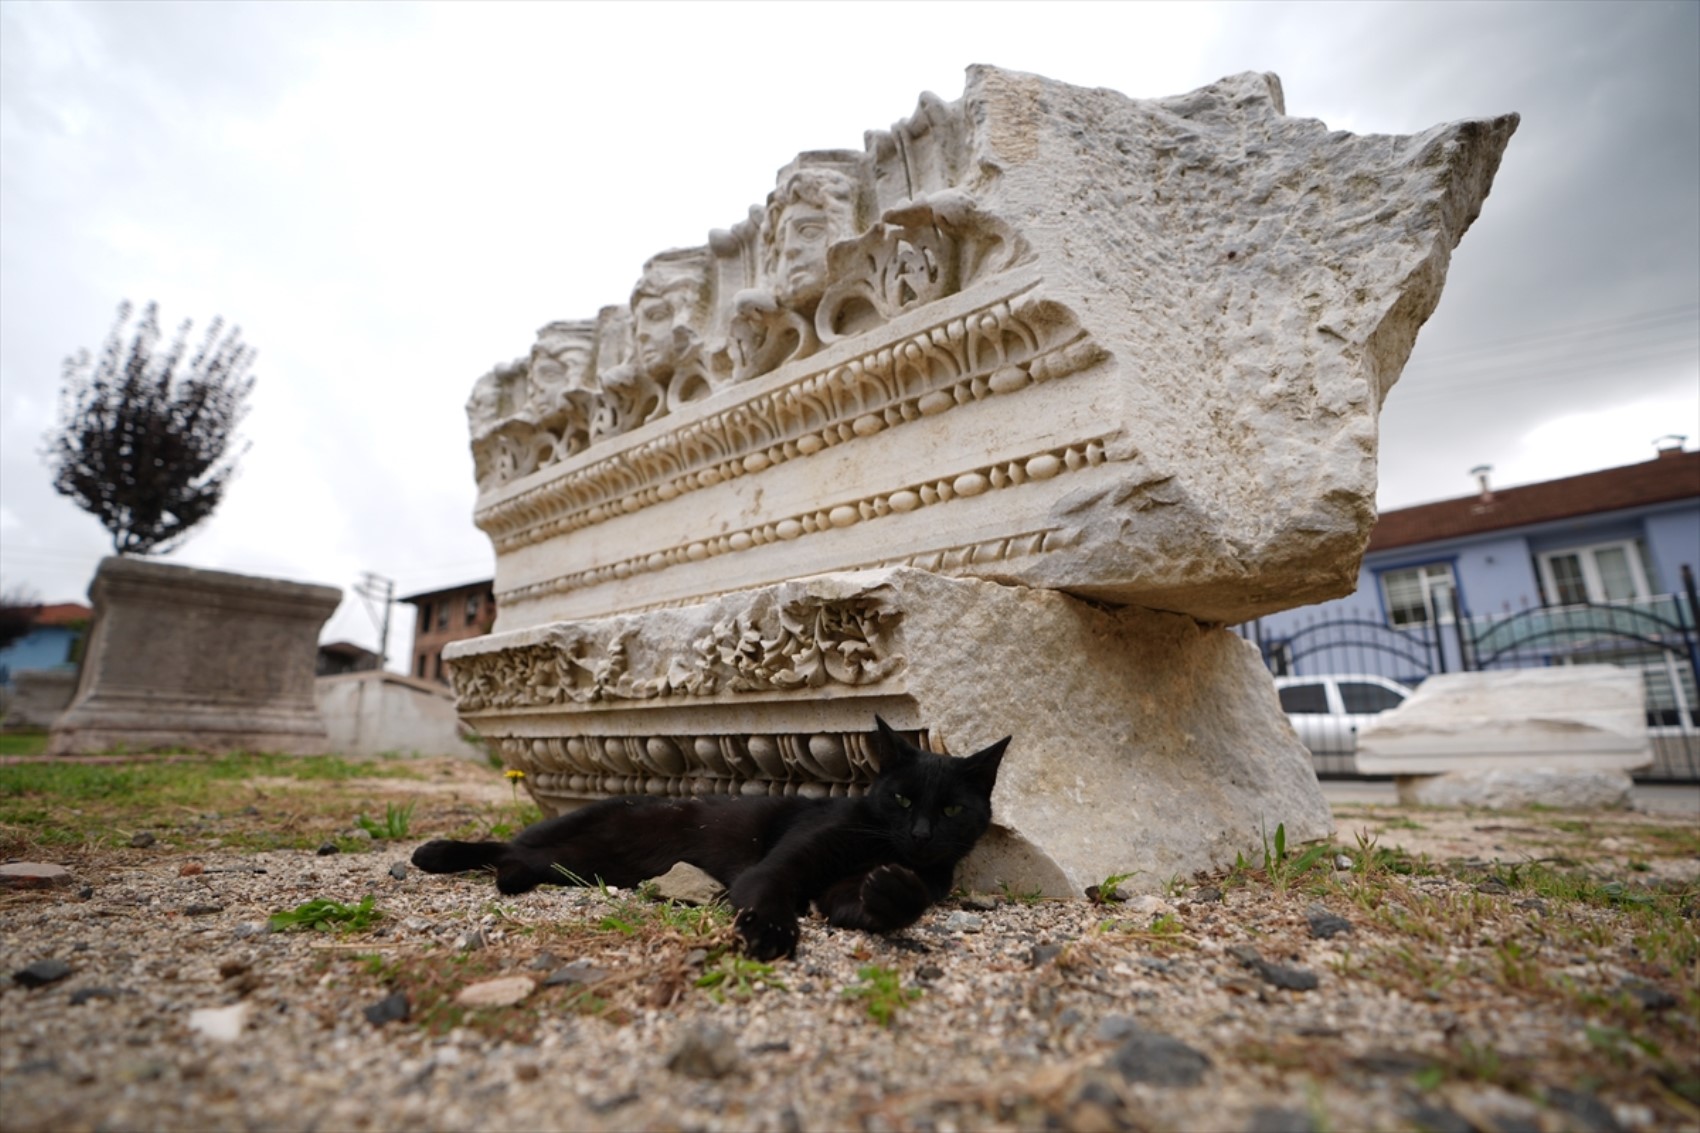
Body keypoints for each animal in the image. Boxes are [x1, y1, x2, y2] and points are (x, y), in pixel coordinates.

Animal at [408, 714, 1006, 952]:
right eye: (901, 799)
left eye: (952, 809)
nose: (921, 835)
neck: (874, 843)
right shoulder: (785, 862)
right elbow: (771, 887)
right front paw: (770, 933)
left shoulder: (845, 892)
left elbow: (875, 902)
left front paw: (893, 888)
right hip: (575, 831)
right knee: (508, 843)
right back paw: (434, 853)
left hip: (579, 864)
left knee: (522, 857)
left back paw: (504, 877)